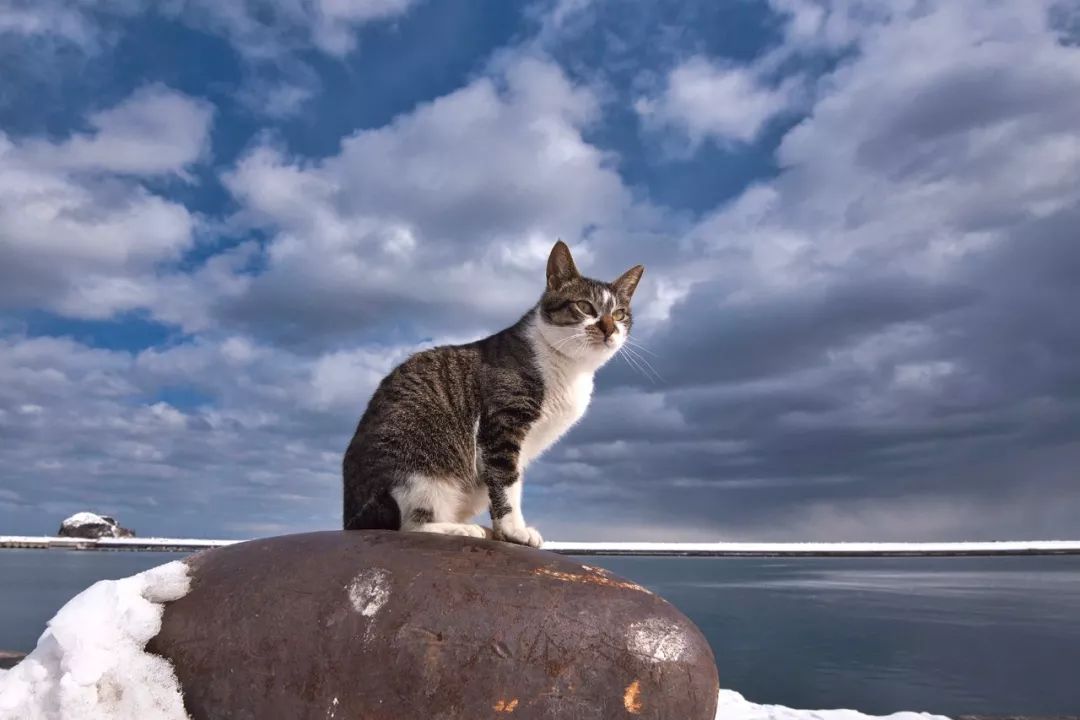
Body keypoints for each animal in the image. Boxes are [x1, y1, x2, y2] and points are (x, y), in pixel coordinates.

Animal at [341, 240, 639, 546]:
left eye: (619, 314)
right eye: (584, 306)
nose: (609, 329)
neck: (572, 368)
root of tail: (352, 518)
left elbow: (508, 480)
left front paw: (501, 530)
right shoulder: (502, 423)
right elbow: (505, 479)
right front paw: (514, 529)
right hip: (420, 468)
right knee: (409, 525)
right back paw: (459, 528)